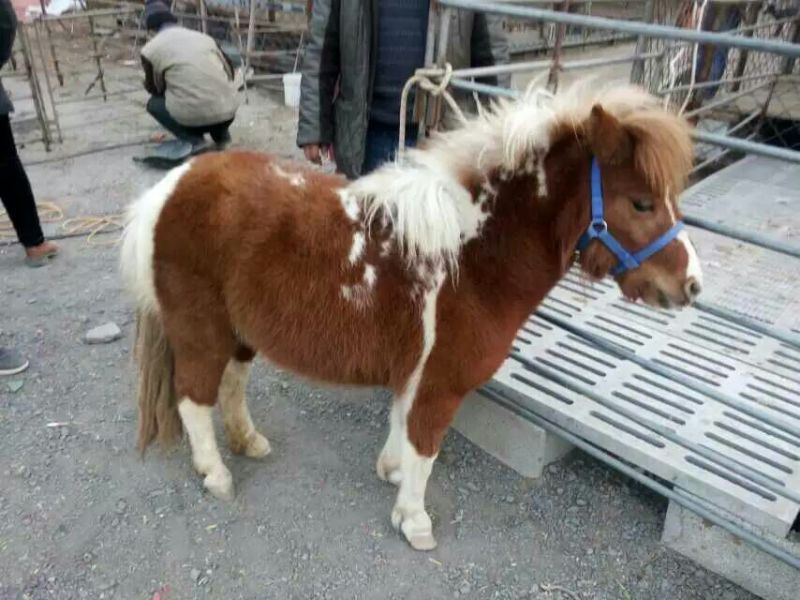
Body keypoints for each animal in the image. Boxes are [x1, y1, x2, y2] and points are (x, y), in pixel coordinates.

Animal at [120, 82, 702, 551]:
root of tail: (170, 188)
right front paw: (414, 520)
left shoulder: (416, 374)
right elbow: (426, 447)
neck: (473, 257)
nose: (691, 285)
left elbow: (401, 430)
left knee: (232, 384)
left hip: (239, 331)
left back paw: (248, 442)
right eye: (643, 203)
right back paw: (216, 474)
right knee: (194, 398)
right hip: (202, 331)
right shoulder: (439, 383)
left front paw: (392, 474)